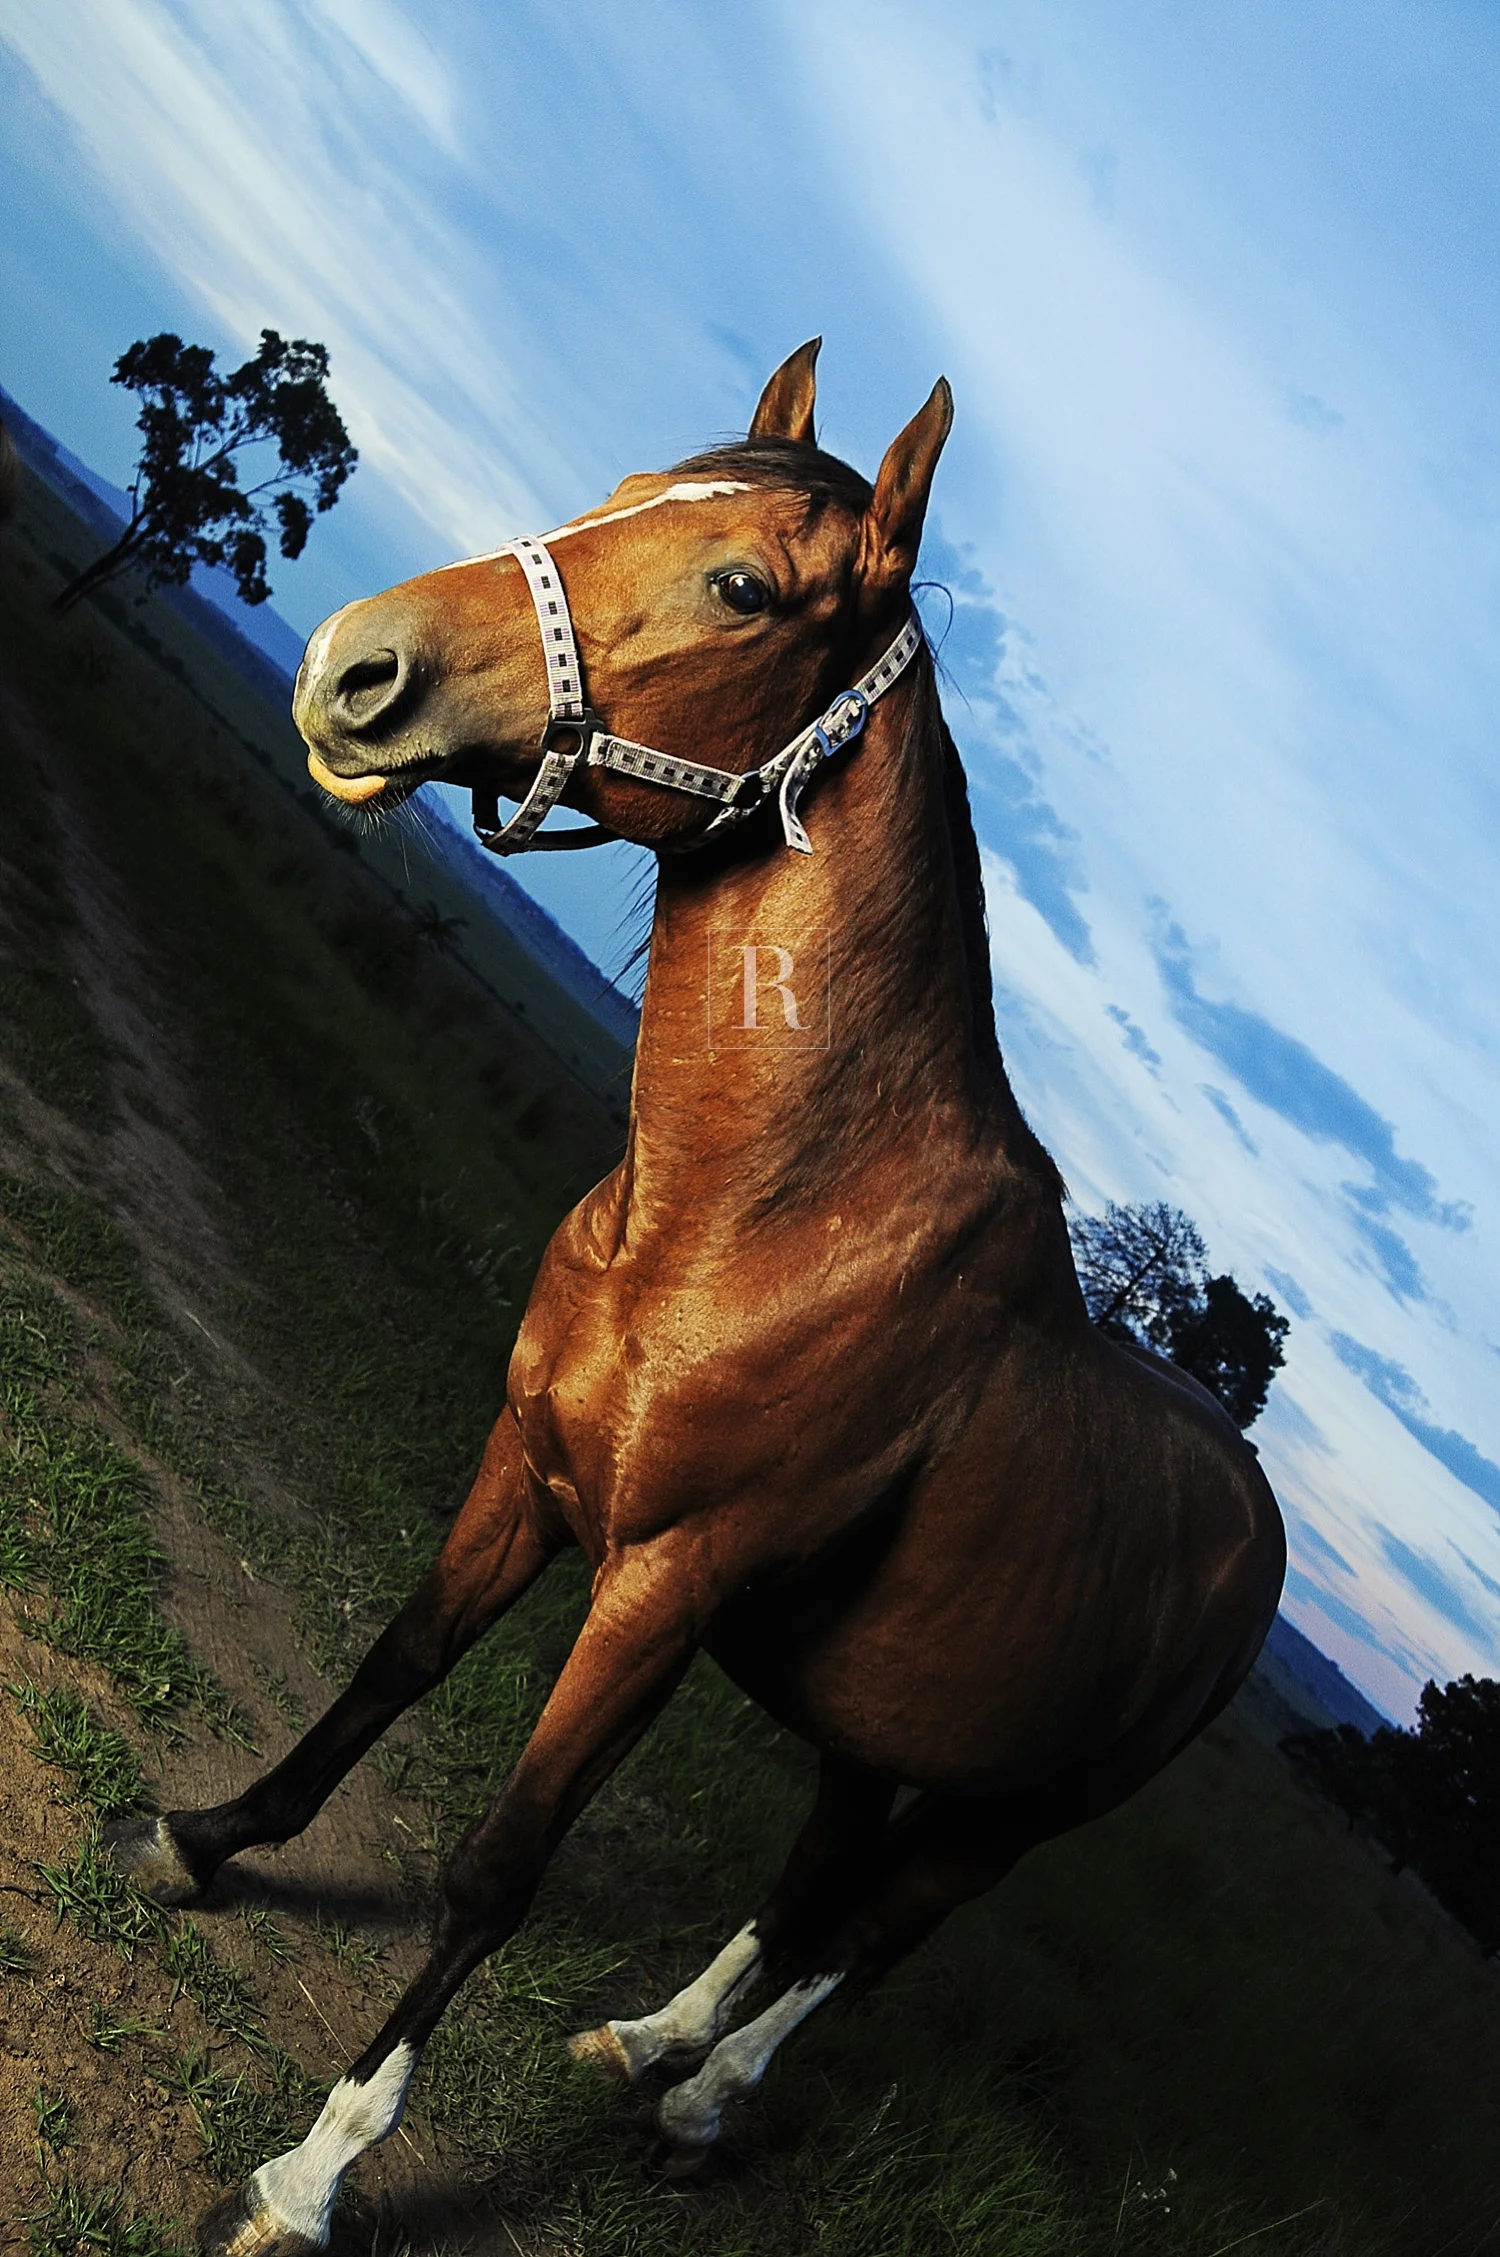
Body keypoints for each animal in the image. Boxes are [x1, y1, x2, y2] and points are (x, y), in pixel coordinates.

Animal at [106, 342, 1285, 2256]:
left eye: (742, 585)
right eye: (614, 497)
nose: (356, 662)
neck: (759, 1222)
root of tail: (1251, 1533)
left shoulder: (667, 1582)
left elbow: (499, 1863)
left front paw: (318, 2165)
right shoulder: (525, 1464)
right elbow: (392, 1669)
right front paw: (208, 1841)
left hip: (1016, 1809)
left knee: (881, 1927)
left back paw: (713, 2097)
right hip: (878, 1712)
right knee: (819, 1875)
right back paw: (653, 2038)